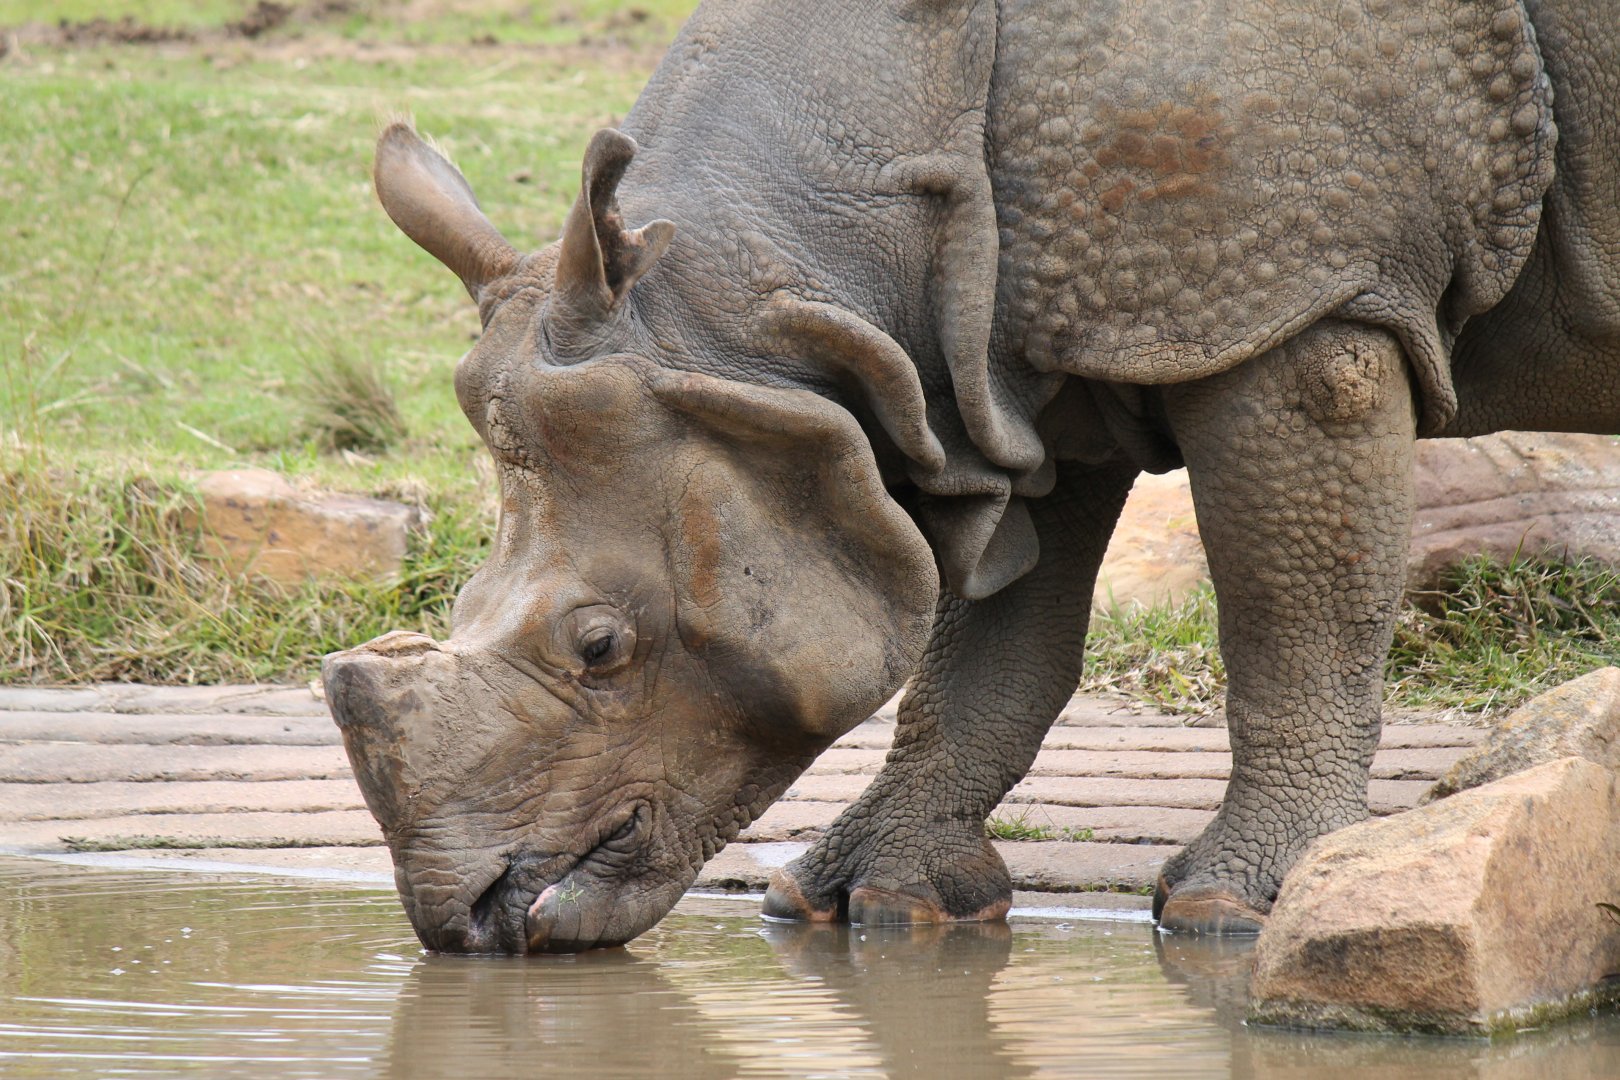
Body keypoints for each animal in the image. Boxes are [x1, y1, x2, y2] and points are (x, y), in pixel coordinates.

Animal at [323, 0, 1620, 952]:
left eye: (600, 648)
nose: (466, 923)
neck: (771, 304)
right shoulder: (1015, 355)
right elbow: (991, 649)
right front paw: (870, 904)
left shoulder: (1296, 296)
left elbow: (1295, 608)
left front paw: (1233, 909)